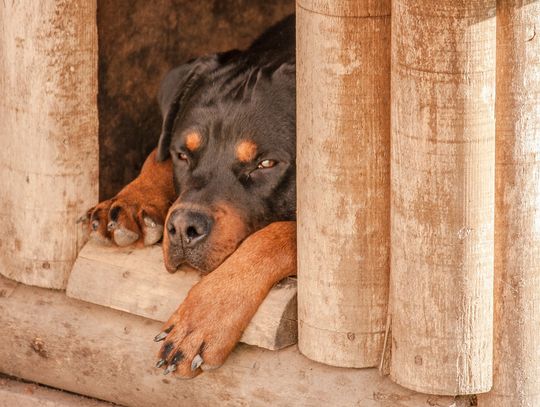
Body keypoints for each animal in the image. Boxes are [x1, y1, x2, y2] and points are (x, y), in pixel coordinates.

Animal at [85, 15, 296, 380]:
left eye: (266, 164)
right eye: (182, 154)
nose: (183, 228)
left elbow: (278, 234)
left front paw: (203, 319)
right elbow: (156, 155)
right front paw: (129, 201)